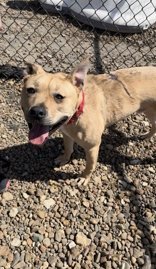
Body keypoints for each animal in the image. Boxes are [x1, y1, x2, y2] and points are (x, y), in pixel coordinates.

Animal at [21, 60, 156, 184]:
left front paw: (84, 177)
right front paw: (64, 159)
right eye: (30, 90)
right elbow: (68, 148)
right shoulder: (67, 134)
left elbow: (90, 165)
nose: (36, 112)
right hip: (149, 111)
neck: (78, 112)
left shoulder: (92, 147)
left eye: (59, 97)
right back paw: (145, 136)